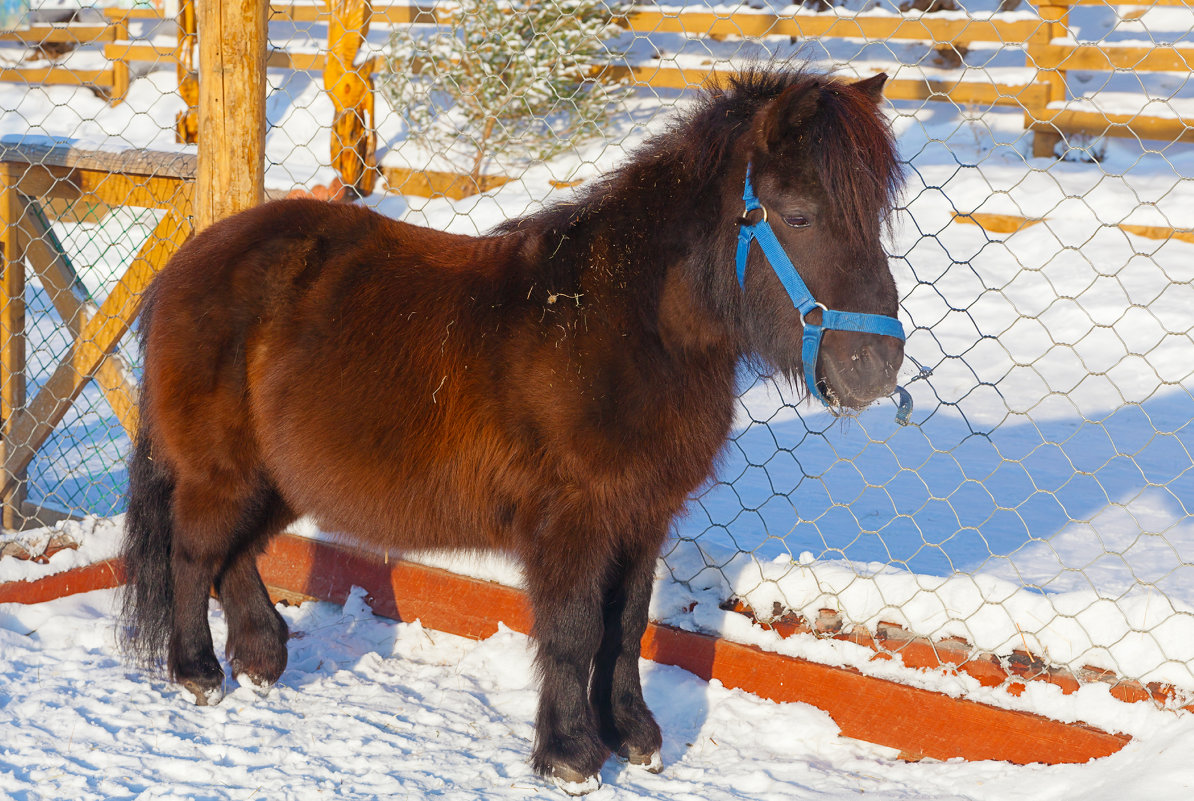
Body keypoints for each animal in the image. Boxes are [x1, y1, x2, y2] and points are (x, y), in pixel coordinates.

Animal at [121, 68, 902, 797]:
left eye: (874, 217)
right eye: (798, 214)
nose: (876, 365)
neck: (617, 326)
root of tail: (191, 259)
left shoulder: (642, 514)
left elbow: (626, 625)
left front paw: (634, 736)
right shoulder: (573, 519)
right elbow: (575, 630)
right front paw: (571, 756)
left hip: (279, 479)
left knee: (235, 553)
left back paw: (261, 659)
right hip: (222, 471)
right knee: (194, 552)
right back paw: (200, 673)